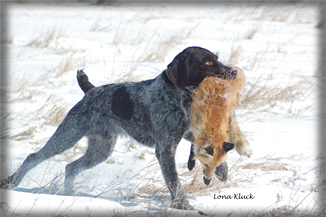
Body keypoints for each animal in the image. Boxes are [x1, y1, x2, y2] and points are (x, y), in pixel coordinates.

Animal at [0, 46, 242, 210]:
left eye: (217, 60)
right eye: (207, 63)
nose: (233, 72)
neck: (181, 96)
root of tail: (91, 90)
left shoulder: (188, 133)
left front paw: (221, 169)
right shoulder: (165, 148)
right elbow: (174, 182)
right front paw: (183, 206)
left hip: (100, 150)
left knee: (71, 167)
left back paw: (69, 194)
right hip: (67, 136)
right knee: (33, 157)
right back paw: (12, 181)